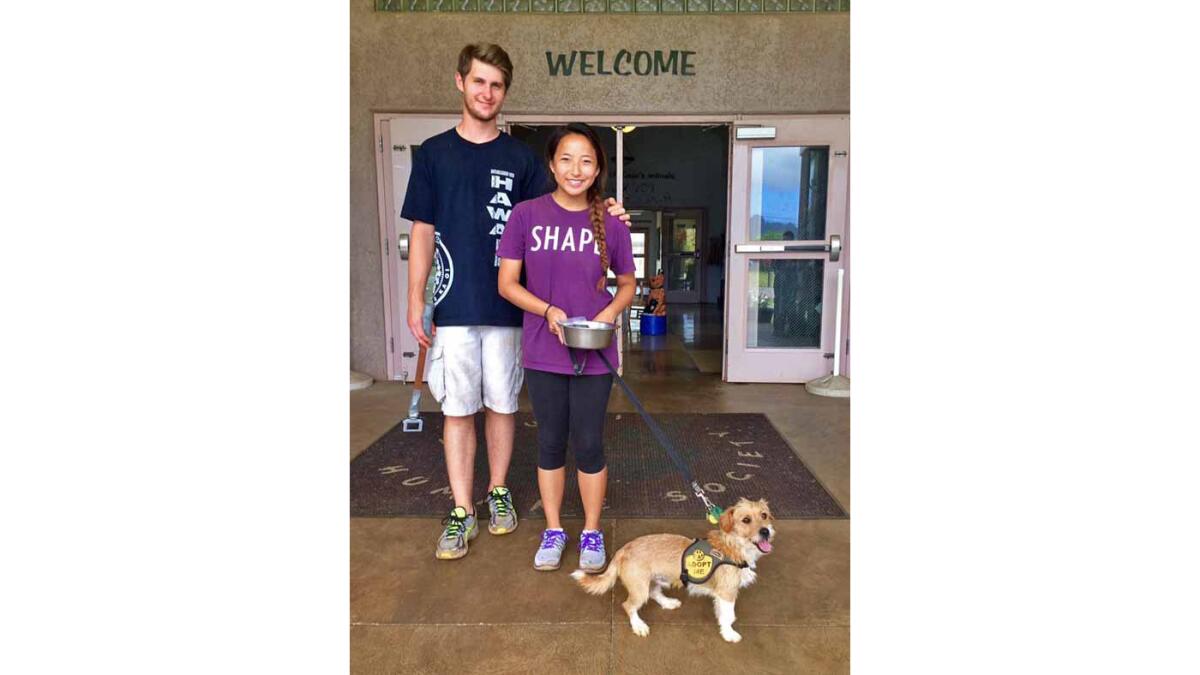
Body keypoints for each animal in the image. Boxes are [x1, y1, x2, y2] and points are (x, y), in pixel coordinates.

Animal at [571, 497, 777, 638]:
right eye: (746, 520)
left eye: (764, 515)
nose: (765, 531)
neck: (733, 545)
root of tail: (623, 549)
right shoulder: (727, 592)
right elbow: (729, 615)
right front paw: (729, 634)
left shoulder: (722, 594)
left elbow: (722, 612)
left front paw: (723, 627)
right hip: (639, 588)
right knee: (628, 605)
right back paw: (639, 625)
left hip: (653, 580)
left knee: (654, 593)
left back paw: (668, 603)